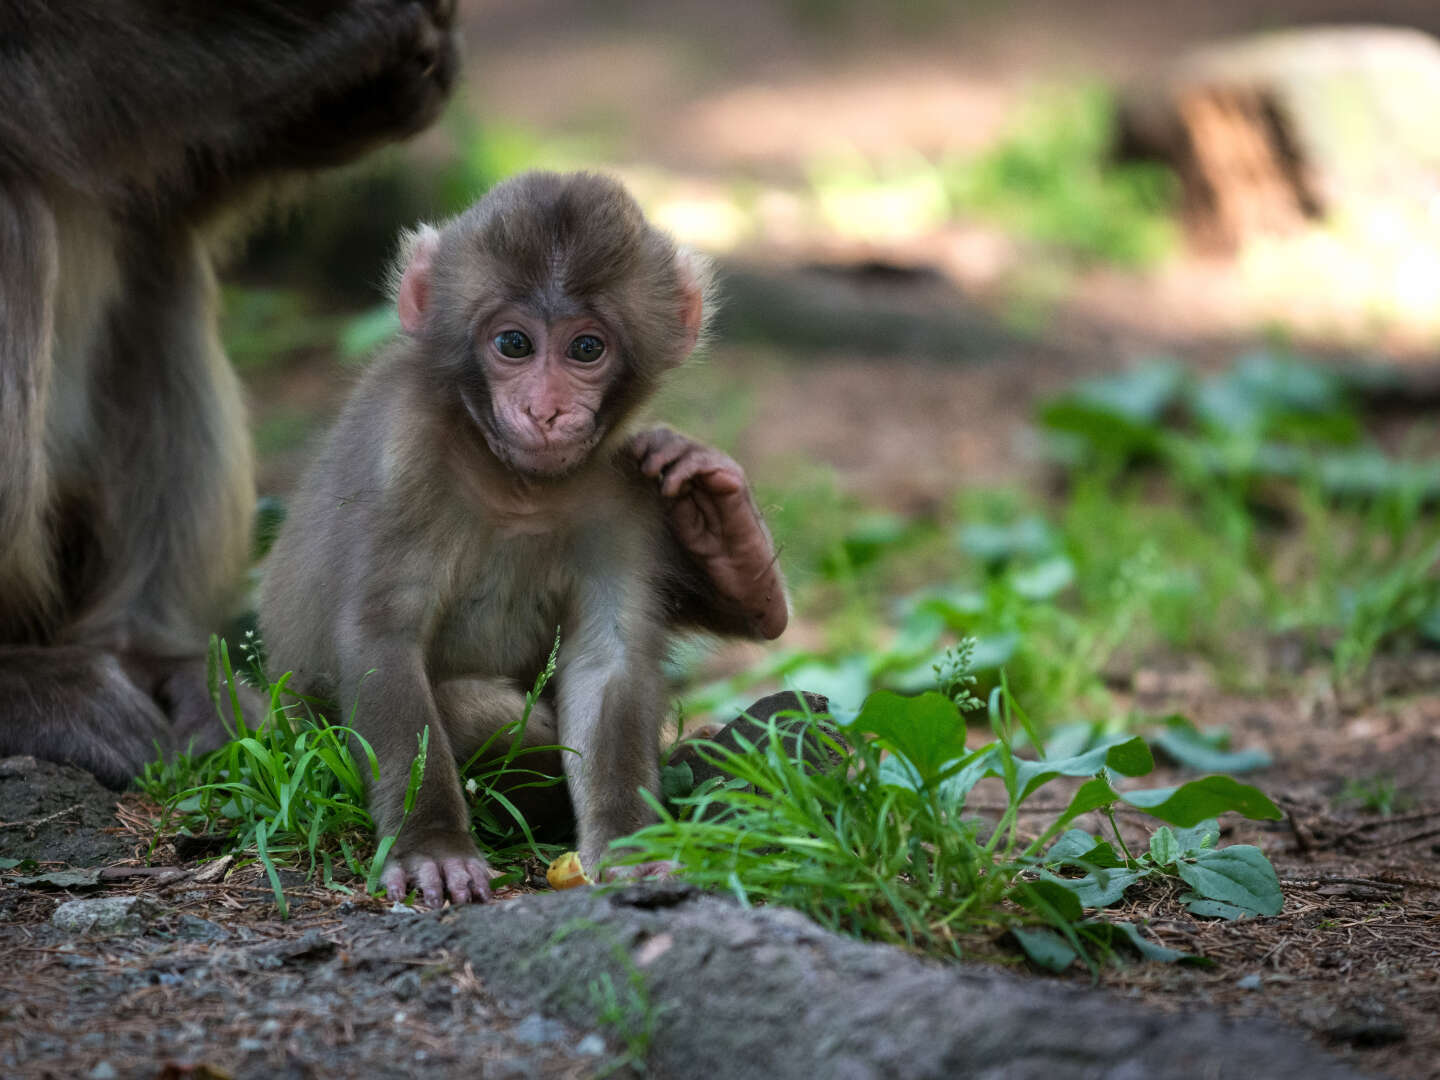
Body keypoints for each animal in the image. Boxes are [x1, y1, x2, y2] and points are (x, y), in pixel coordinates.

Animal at [0, 4, 460, 789]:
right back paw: (24, 686)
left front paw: (389, 82)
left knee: (157, 247)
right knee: (16, 216)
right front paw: (320, 38)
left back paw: (157, 658)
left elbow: (179, 181)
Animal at [256, 173, 789, 910]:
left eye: (586, 349)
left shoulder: (622, 490)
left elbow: (607, 662)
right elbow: (383, 638)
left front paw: (627, 845)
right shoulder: (402, 448)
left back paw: (726, 536)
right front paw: (433, 846)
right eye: (513, 344)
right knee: (464, 706)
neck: (519, 486)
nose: (546, 409)